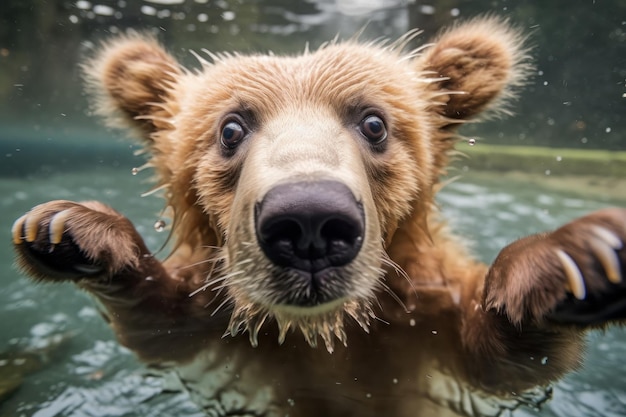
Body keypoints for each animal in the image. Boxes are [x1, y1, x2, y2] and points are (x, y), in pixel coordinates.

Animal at [9, 17, 624, 416]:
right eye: (231, 127)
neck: (326, 333)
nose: (308, 221)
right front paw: (70, 229)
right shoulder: (214, 314)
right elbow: (158, 327)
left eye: (374, 122)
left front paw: (570, 260)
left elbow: (501, 360)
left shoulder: (425, 316)